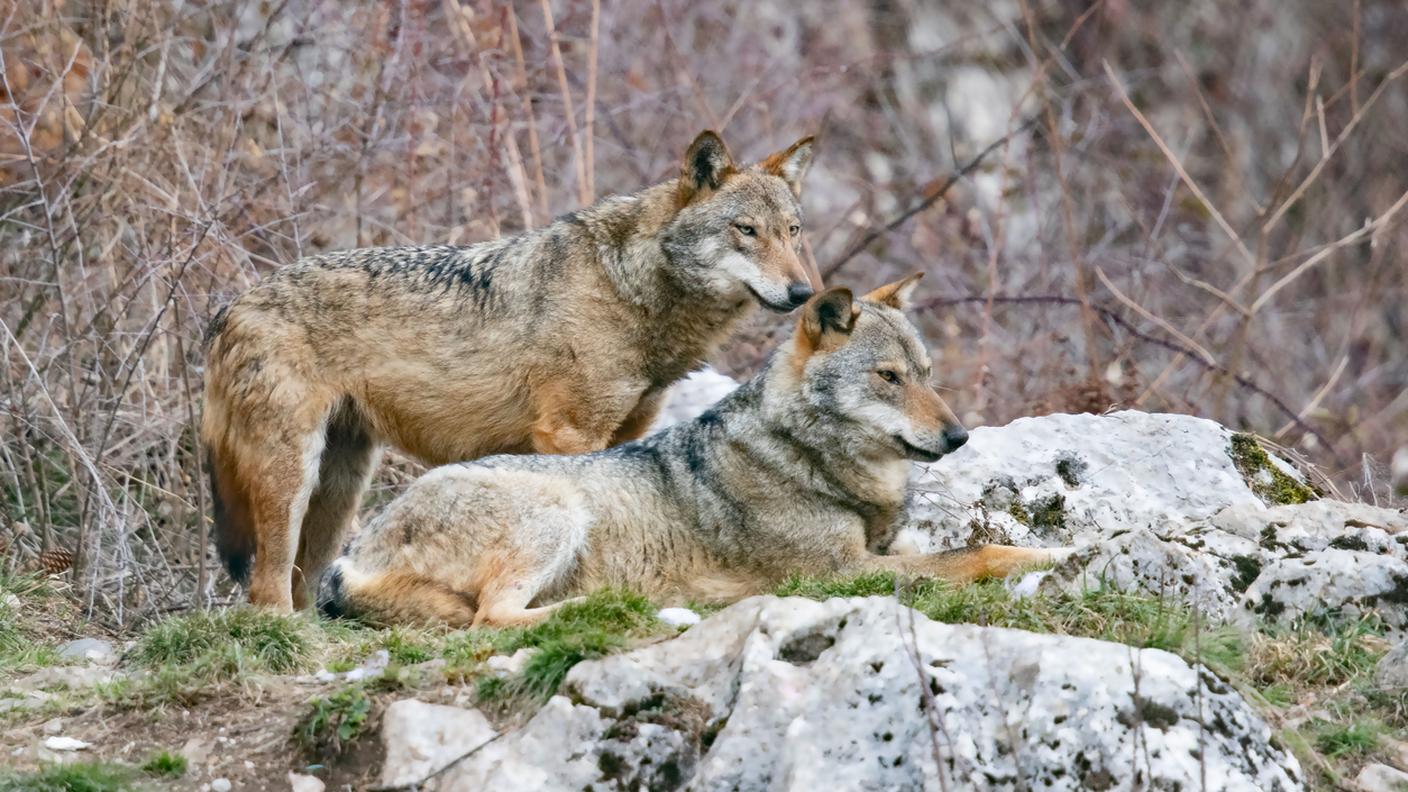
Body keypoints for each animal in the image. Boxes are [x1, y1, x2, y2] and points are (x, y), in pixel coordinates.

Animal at [203, 130, 818, 611]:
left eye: (792, 231)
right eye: (746, 230)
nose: (803, 293)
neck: (630, 289)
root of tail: (227, 308)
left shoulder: (627, 433)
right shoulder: (568, 433)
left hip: (342, 488)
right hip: (292, 479)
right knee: (264, 590)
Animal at [317, 275, 1068, 627]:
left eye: (928, 374)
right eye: (889, 378)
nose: (960, 436)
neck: (804, 456)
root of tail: (351, 554)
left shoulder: (881, 551)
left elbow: (961, 543)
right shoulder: (837, 574)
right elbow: (977, 554)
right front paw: (1059, 556)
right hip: (556, 512)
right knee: (490, 618)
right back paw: (621, 607)